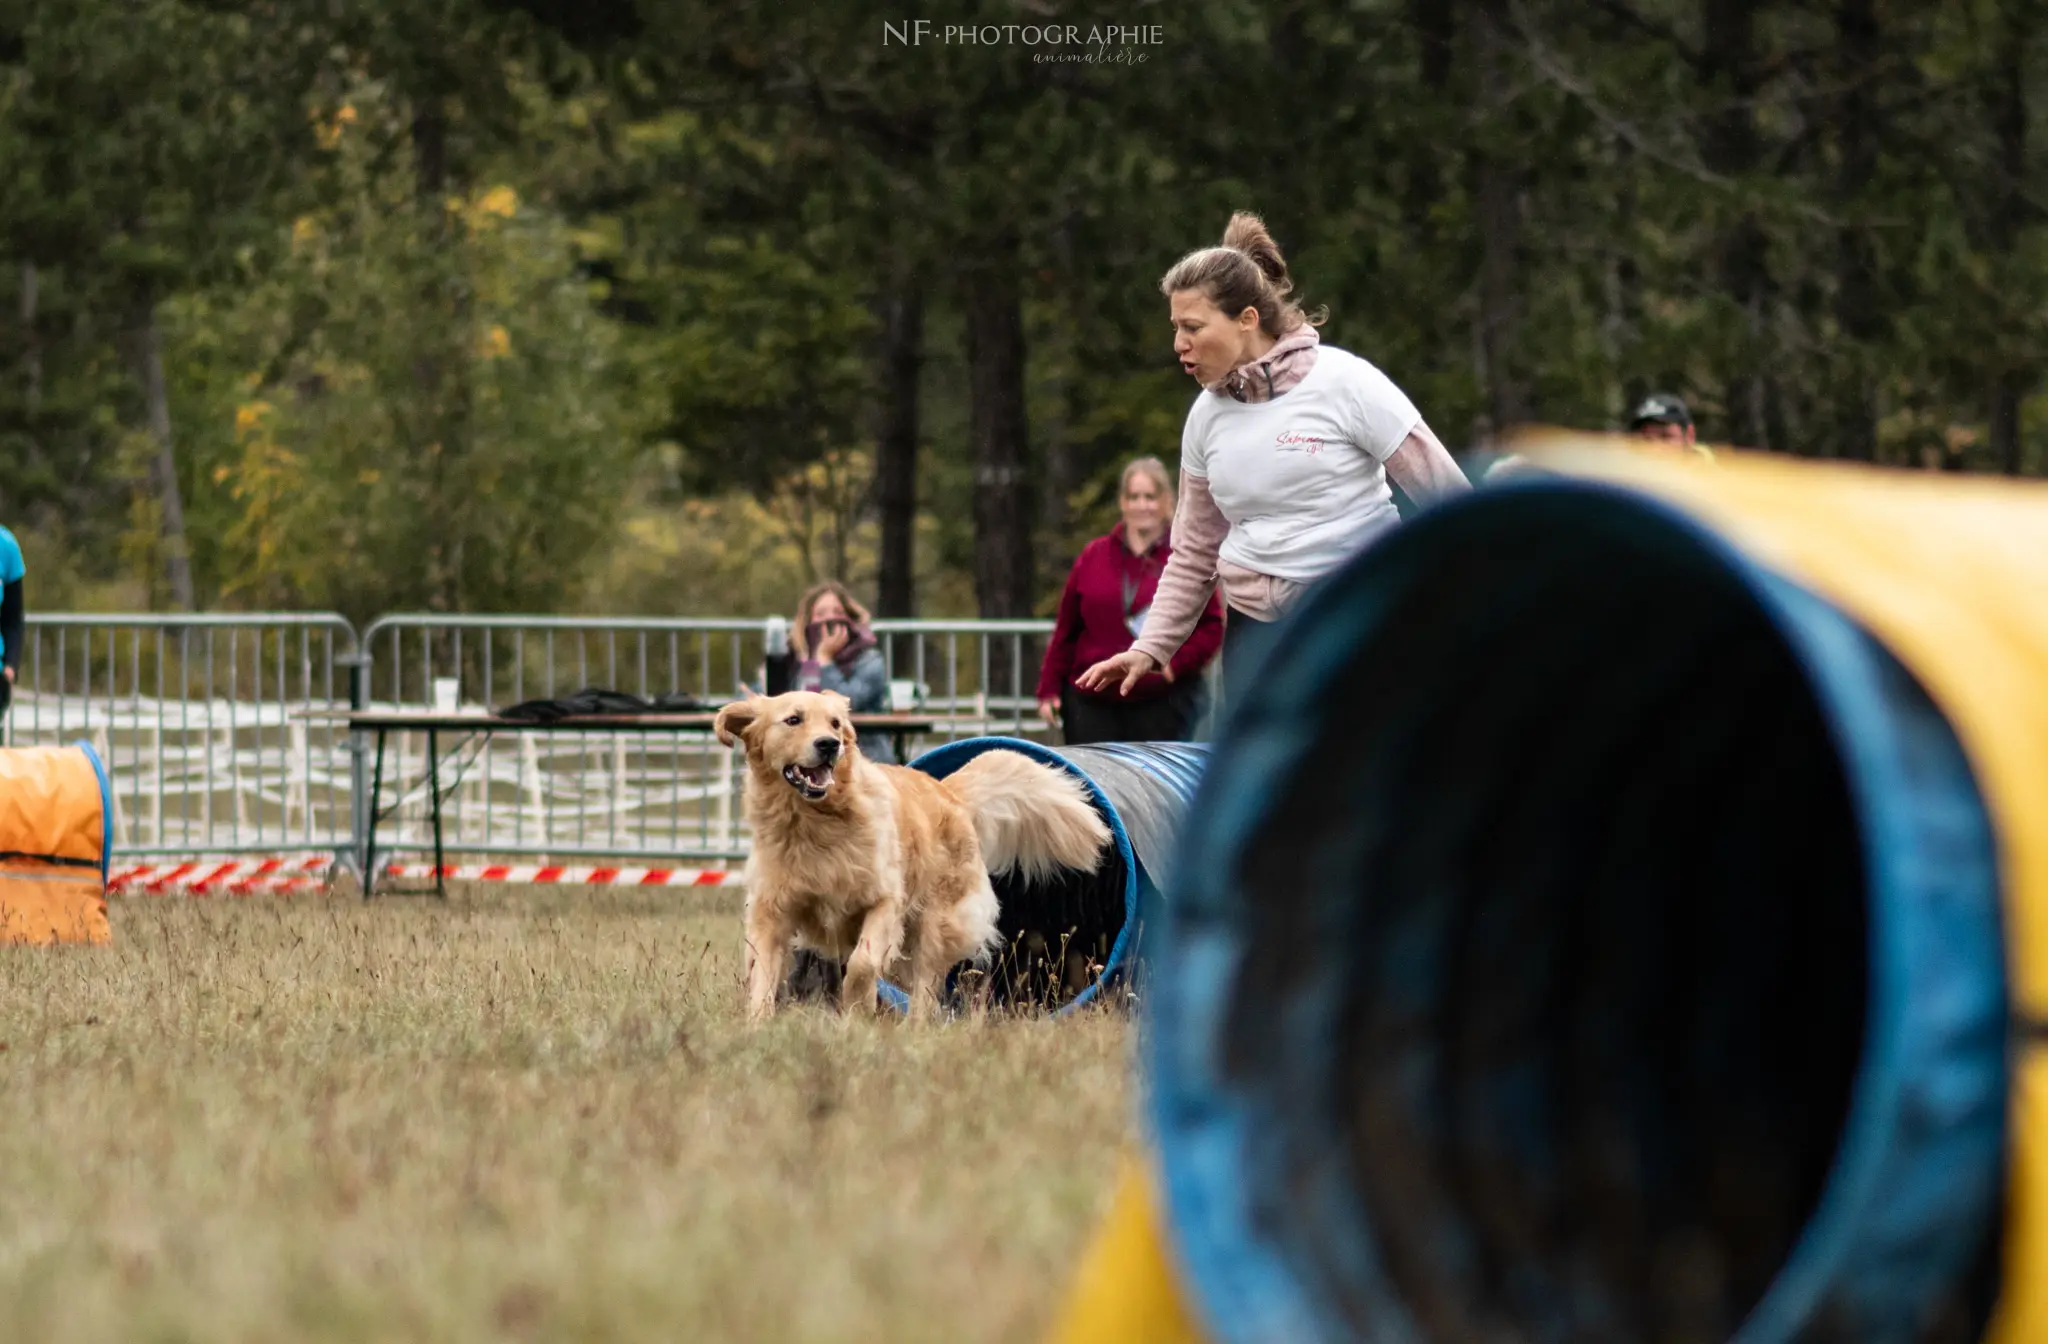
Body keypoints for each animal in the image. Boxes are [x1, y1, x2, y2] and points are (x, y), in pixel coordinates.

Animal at [716, 692, 1114, 1020]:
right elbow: (762, 973)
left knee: (927, 988)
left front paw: (857, 1007)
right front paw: (758, 1025)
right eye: (793, 719)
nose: (830, 745)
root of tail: (947, 790)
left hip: (938, 923)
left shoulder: (884, 902)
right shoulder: (772, 911)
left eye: (835, 723)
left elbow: (863, 962)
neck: (814, 823)